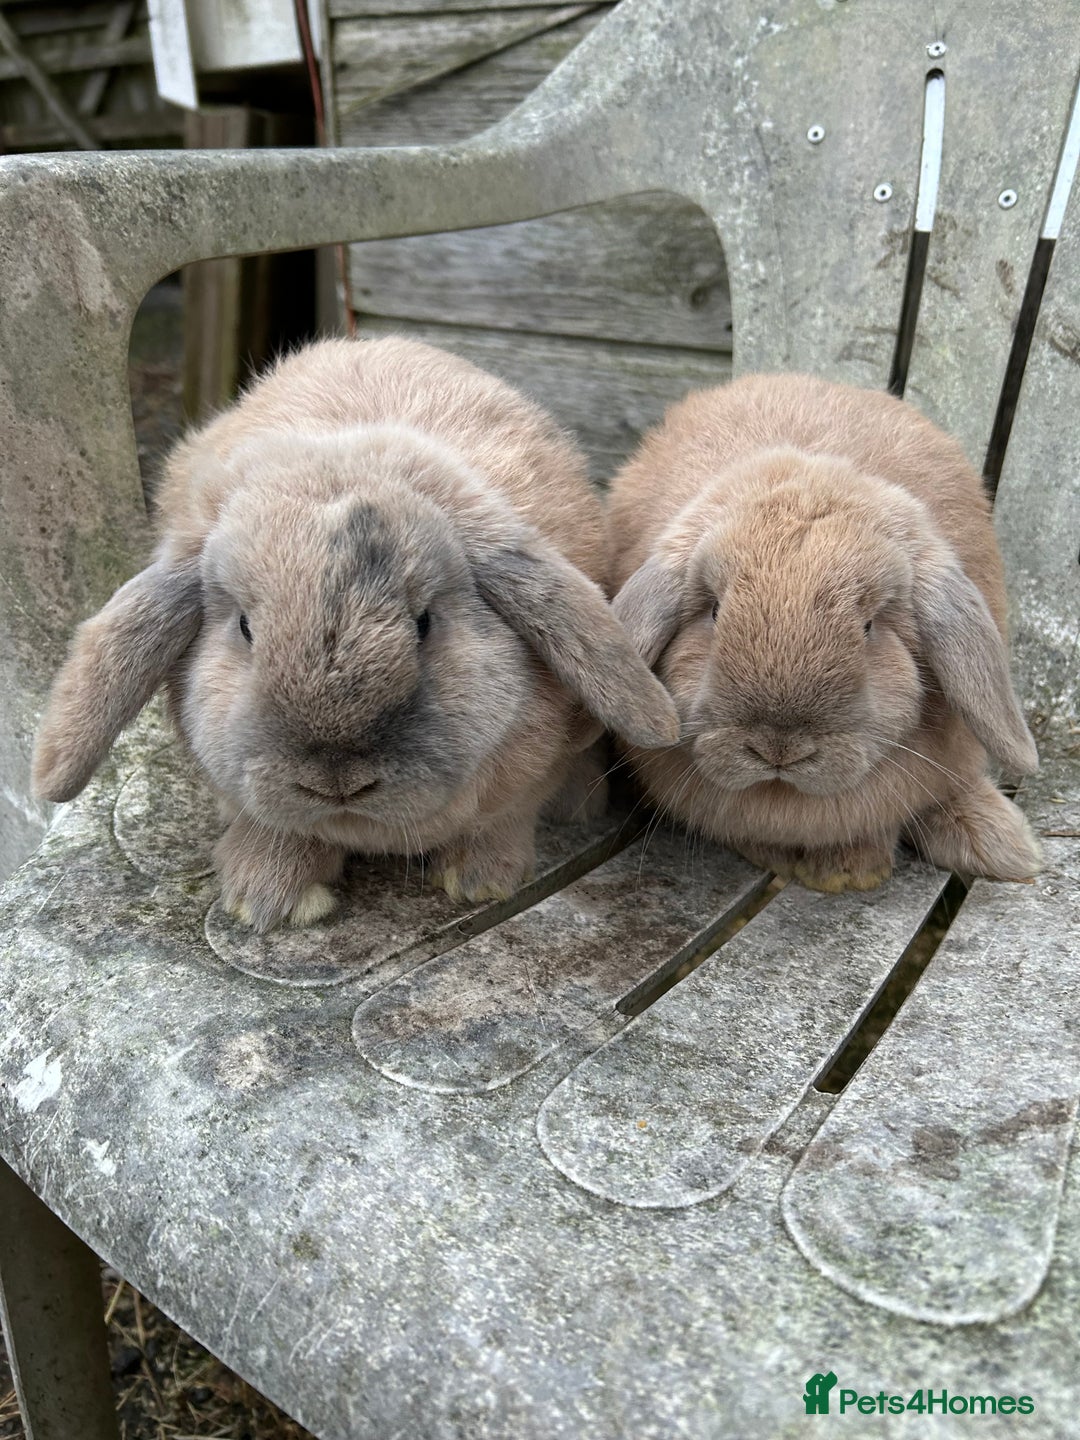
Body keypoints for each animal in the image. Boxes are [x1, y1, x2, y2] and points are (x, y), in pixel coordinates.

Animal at [32, 337, 679, 930]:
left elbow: (504, 817)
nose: (337, 782)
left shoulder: (522, 781)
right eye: (244, 627)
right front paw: (266, 898)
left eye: (424, 623)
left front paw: (480, 880)